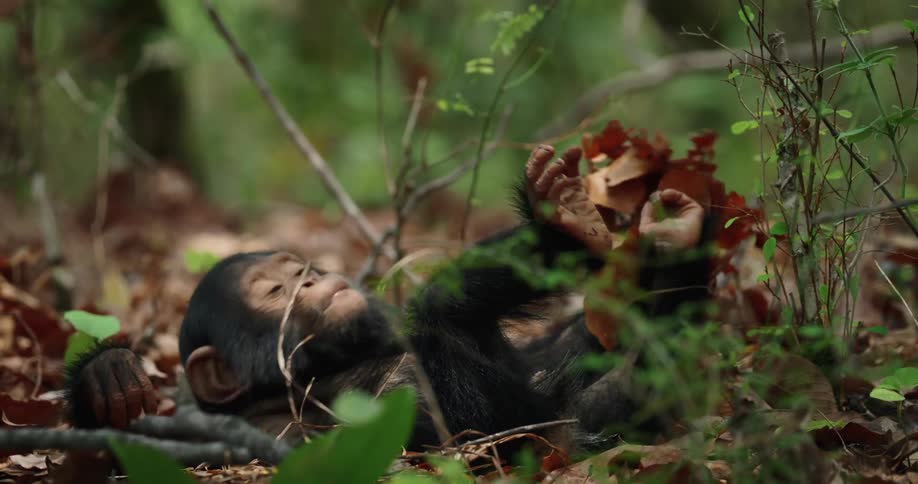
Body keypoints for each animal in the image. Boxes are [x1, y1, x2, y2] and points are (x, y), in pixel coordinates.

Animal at [65, 144, 711, 451]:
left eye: (302, 269)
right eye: (276, 290)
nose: (313, 281)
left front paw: (559, 213)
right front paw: (109, 379)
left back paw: (674, 238)